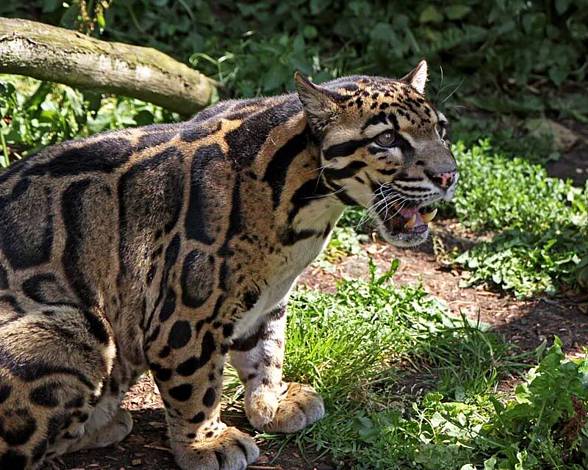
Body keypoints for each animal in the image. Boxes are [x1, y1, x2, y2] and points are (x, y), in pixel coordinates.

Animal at [0, 60, 458, 468]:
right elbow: (196, 383)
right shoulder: (186, 313)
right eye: (388, 138)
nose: (449, 175)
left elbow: (267, 348)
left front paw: (271, 401)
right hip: (78, 326)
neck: (304, 208)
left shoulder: (268, 296)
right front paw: (205, 443)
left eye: (440, 128)